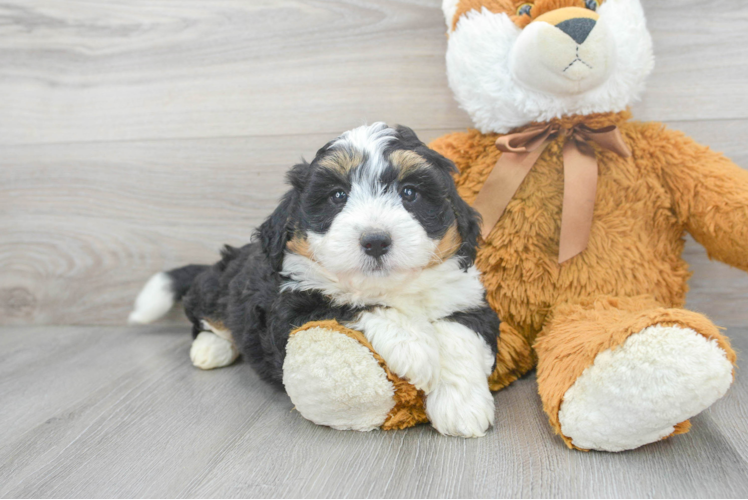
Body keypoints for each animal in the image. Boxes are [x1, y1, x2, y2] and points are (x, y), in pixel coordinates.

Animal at [131, 124, 500, 438]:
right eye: (337, 196)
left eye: (409, 193)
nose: (375, 241)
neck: (390, 286)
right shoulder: (289, 309)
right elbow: (349, 303)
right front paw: (416, 347)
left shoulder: (468, 299)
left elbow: (459, 335)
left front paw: (461, 406)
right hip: (217, 290)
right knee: (205, 317)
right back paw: (211, 347)